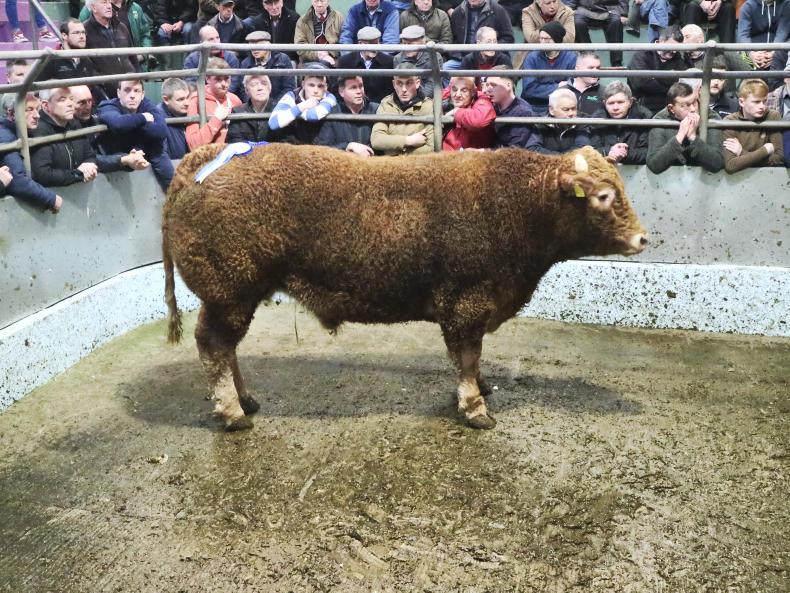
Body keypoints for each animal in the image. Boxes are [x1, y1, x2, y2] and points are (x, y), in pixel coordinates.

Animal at [163, 143, 648, 431]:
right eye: (603, 196)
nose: (643, 239)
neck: (515, 204)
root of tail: (205, 157)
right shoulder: (467, 303)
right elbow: (466, 358)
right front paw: (475, 408)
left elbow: (470, 361)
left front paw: (480, 388)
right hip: (229, 291)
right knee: (214, 347)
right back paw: (232, 412)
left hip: (233, 295)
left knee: (227, 349)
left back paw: (245, 399)